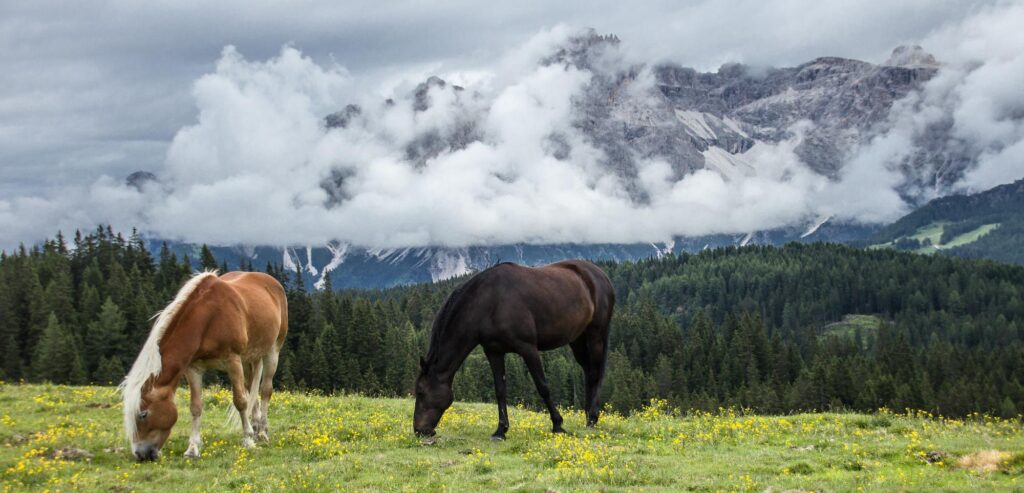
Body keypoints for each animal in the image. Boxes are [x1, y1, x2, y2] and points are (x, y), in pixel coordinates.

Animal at [120, 270, 288, 459]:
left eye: (143, 414)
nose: (140, 454)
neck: (208, 318)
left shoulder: (233, 360)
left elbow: (240, 401)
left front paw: (248, 440)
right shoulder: (194, 368)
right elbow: (196, 406)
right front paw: (193, 448)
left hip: (272, 351)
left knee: (265, 390)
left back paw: (262, 433)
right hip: (249, 358)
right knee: (251, 386)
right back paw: (257, 427)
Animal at [411, 257, 610, 438]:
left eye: (420, 391)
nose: (420, 430)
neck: (489, 302)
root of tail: (600, 275)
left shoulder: (528, 349)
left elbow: (543, 386)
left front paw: (558, 425)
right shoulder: (494, 352)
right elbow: (500, 390)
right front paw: (501, 430)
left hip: (596, 334)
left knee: (595, 373)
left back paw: (592, 419)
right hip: (577, 339)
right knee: (588, 371)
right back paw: (588, 416)